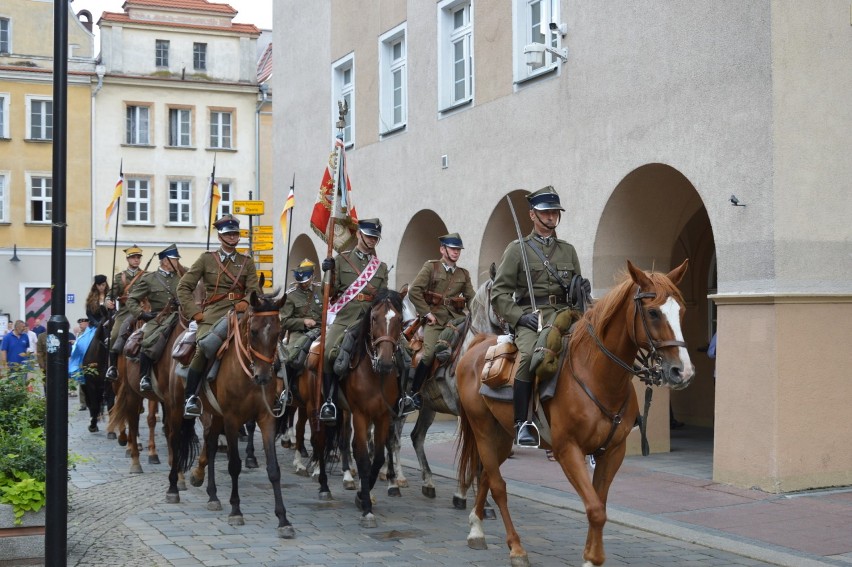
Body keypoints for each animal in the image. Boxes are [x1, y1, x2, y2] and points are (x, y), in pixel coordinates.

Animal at [166, 292, 292, 536]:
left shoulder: (266, 419)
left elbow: (274, 469)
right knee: (175, 441)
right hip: (177, 409)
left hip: (216, 415)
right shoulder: (233, 420)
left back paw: (212, 495)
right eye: (254, 331)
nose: (263, 377)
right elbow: (234, 465)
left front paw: (283, 520)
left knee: (211, 445)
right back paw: (173, 488)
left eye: (278, 332)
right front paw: (236, 511)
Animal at [460, 262, 692, 567]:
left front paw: (591, 557)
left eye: (681, 311)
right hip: (483, 430)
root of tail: (475, 347)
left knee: (488, 476)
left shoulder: (612, 451)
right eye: (653, 312)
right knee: (497, 484)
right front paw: (592, 558)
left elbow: (600, 504)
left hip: (502, 434)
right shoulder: (567, 450)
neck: (597, 376)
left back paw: (476, 527)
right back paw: (515, 547)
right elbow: (594, 508)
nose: (682, 372)